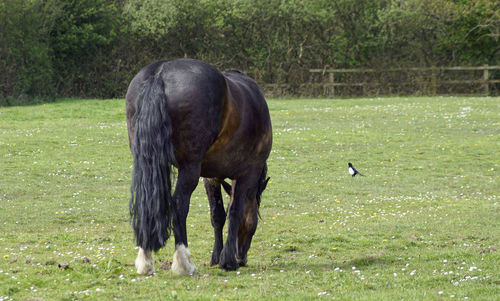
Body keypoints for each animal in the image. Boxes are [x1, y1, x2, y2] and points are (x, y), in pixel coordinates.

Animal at [125, 58, 274, 274]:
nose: (242, 257)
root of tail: (160, 72)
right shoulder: (248, 173)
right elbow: (235, 211)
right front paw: (228, 260)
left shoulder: (211, 177)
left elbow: (218, 215)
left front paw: (217, 256)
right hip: (189, 168)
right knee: (179, 204)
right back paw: (184, 263)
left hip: (148, 161)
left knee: (148, 202)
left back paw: (146, 260)